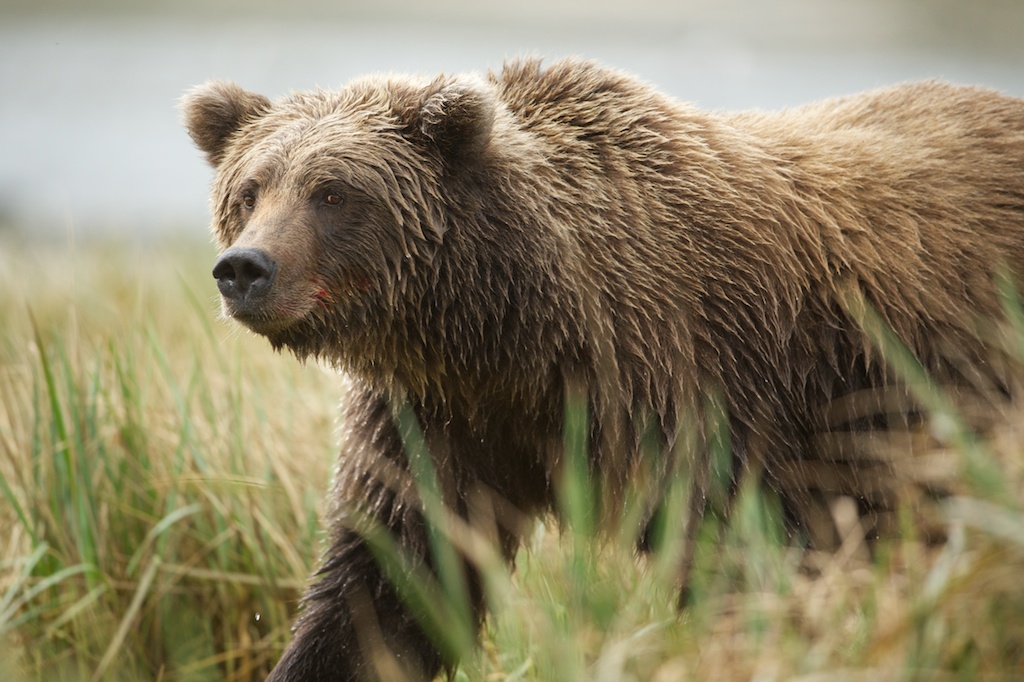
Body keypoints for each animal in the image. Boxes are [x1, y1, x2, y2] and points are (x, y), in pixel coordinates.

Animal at [183, 57, 1024, 681]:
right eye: (249, 189)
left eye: (332, 191)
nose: (245, 268)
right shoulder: (437, 412)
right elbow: (390, 578)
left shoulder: (696, 376)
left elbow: (739, 555)